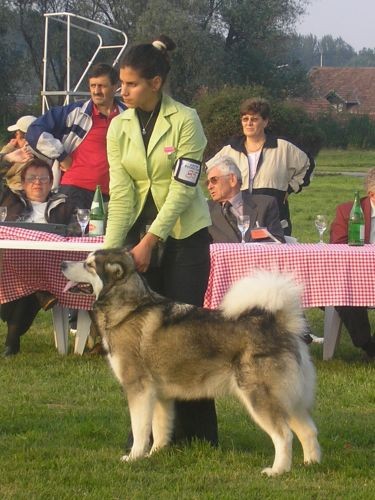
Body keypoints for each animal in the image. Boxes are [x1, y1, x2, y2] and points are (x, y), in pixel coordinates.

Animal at [63, 250, 322, 476]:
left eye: (89, 264)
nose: (63, 264)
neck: (128, 309)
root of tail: (280, 324)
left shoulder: (138, 389)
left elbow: (140, 429)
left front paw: (134, 456)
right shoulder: (160, 395)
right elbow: (160, 428)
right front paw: (155, 454)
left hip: (260, 396)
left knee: (284, 435)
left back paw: (277, 471)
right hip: (290, 398)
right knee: (309, 430)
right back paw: (311, 464)